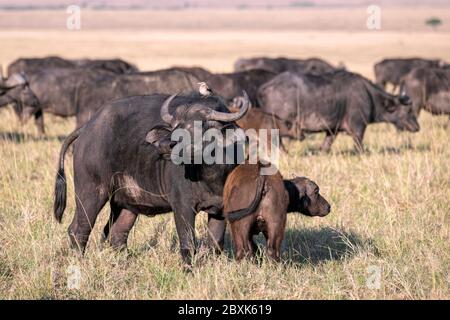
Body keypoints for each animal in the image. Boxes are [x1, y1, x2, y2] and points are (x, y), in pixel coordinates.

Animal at [54, 92, 251, 264]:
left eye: (200, 124)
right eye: (175, 125)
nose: (166, 144)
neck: (210, 176)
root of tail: (87, 128)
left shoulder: (220, 210)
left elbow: (215, 244)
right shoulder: (182, 206)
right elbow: (188, 242)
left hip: (126, 203)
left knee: (117, 234)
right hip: (91, 191)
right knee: (79, 229)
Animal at [258, 70, 420, 152]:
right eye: (409, 111)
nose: (417, 127)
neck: (369, 95)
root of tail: (265, 88)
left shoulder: (333, 129)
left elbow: (326, 144)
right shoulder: (358, 126)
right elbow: (359, 145)